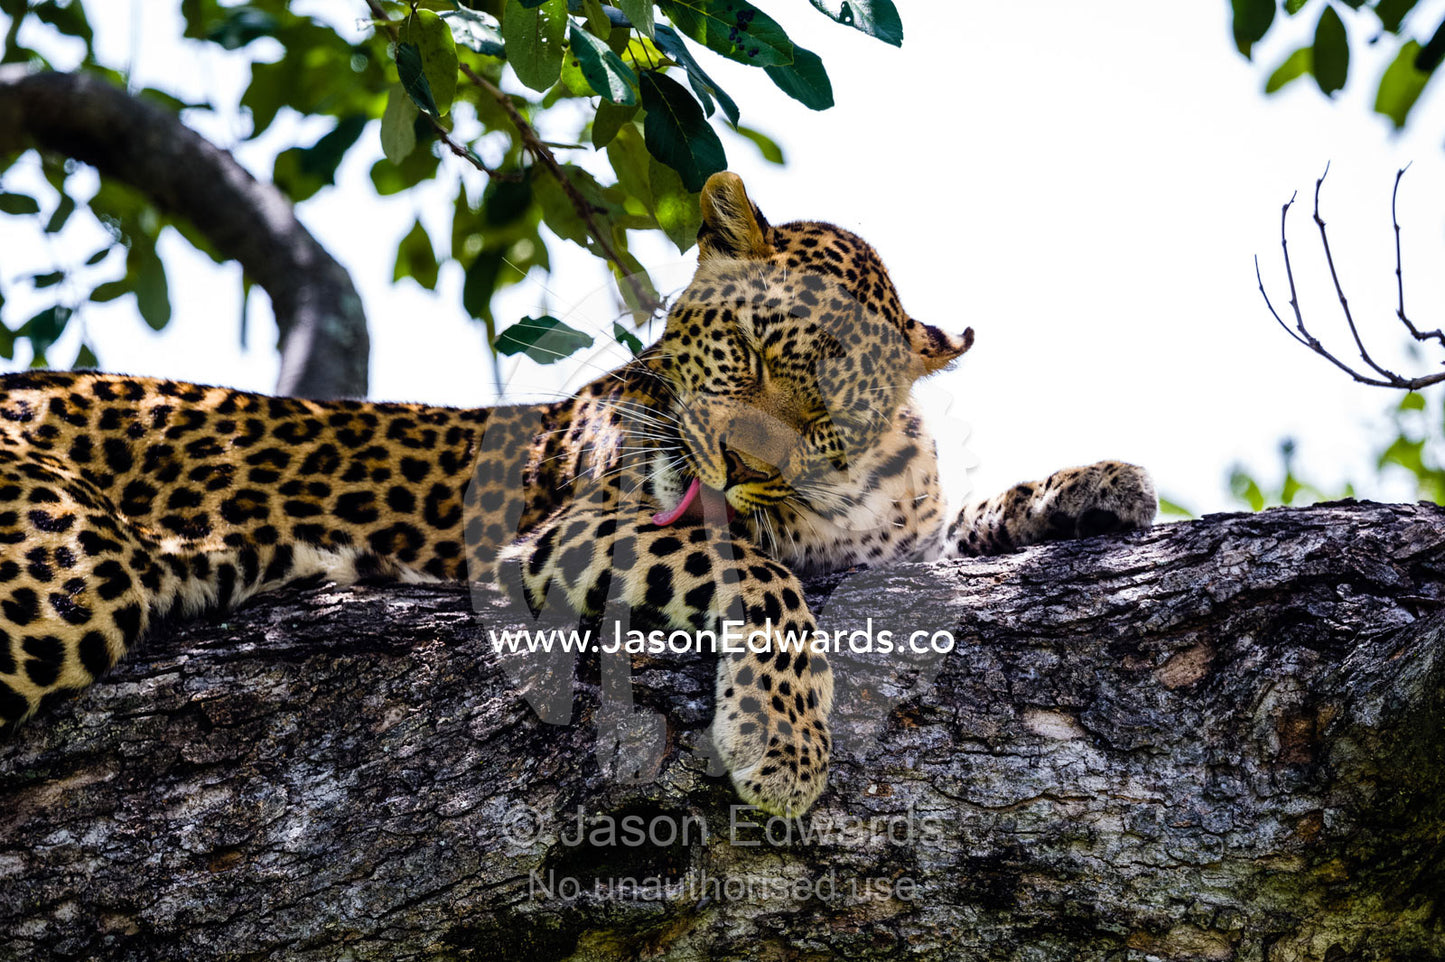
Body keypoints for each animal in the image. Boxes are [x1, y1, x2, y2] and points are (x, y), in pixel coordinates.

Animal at [0, 171, 1156, 816]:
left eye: (830, 400)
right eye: (745, 351)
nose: (738, 462)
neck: (842, 494)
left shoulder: (893, 535)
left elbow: (962, 521)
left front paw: (1094, 485)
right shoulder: (580, 527)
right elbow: (761, 575)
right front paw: (779, 742)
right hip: (66, 579)